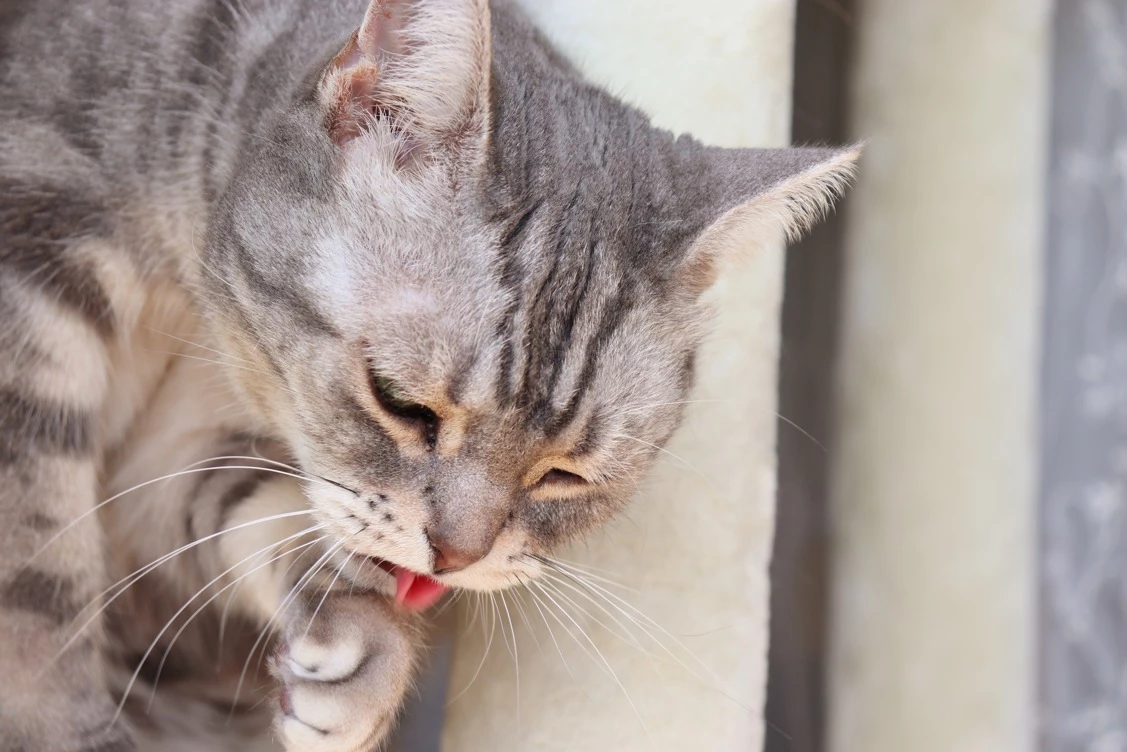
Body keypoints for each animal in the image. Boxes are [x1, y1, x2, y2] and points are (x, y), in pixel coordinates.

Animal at [0, 0, 852, 748]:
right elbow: (35, 582)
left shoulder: (178, 462)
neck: (195, 317)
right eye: (402, 403)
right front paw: (61, 730)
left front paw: (363, 653)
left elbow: (263, 511)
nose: (455, 559)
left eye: (564, 475)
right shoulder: (33, 269)